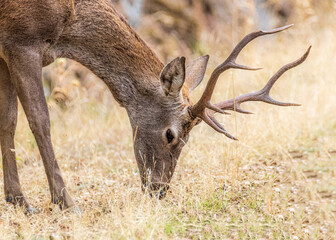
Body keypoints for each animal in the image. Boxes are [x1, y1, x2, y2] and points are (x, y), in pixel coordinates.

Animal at [0, 0, 312, 214]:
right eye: (170, 134)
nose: (159, 190)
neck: (69, 23)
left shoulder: (6, 52)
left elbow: (9, 120)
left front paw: (18, 200)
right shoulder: (22, 40)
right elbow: (40, 120)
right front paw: (65, 203)